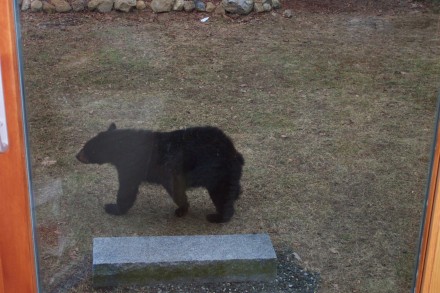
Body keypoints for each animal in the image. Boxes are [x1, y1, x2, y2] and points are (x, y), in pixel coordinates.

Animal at [75, 122, 244, 221]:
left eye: (86, 147)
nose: (76, 155)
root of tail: (234, 152)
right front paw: (183, 208)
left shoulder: (132, 165)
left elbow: (127, 189)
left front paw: (113, 208)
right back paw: (236, 195)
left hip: (217, 172)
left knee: (221, 194)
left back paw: (217, 216)